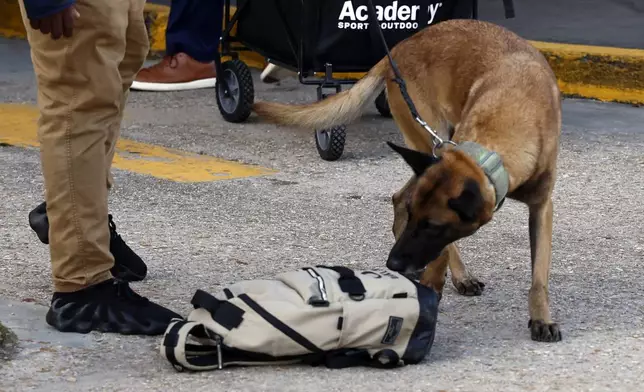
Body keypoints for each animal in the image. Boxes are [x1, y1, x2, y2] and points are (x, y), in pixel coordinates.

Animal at [253, 19, 564, 342]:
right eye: (421, 221)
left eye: (433, 226)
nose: (393, 264)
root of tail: (401, 46)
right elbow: (440, 254)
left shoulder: (542, 208)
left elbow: (539, 276)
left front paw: (541, 318)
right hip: (428, 140)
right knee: (403, 198)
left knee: (399, 196)